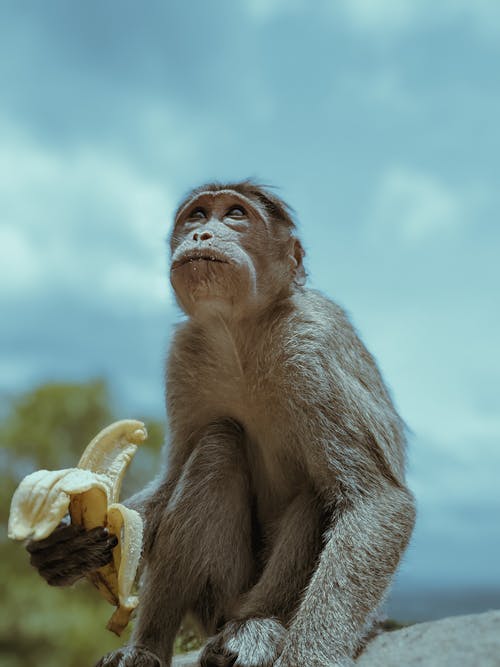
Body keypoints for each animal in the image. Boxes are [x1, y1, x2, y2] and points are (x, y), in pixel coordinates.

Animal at [28, 180, 418, 664]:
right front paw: (68, 547)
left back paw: (255, 628)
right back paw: (148, 646)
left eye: (235, 214)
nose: (202, 234)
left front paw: (309, 651)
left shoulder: (313, 344)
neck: (239, 334)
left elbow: (377, 499)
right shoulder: (185, 353)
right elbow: (172, 477)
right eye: (197, 215)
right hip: (213, 601)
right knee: (218, 444)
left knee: (316, 493)